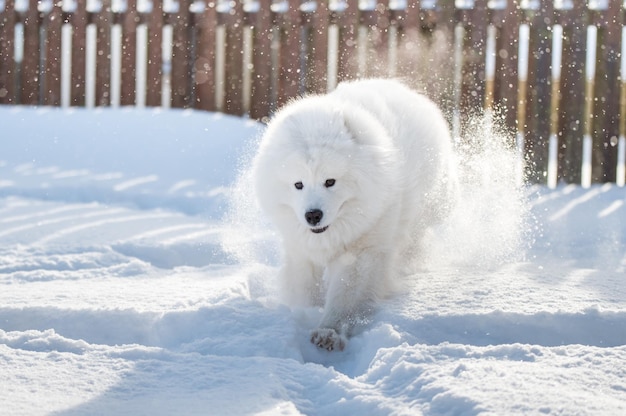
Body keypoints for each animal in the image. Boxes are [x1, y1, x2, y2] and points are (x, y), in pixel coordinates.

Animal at [251, 79, 456, 352]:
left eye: (330, 181)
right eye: (298, 185)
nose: (313, 215)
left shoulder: (362, 253)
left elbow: (345, 296)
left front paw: (329, 332)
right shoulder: (301, 251)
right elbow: (306, 288)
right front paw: (307, 313)